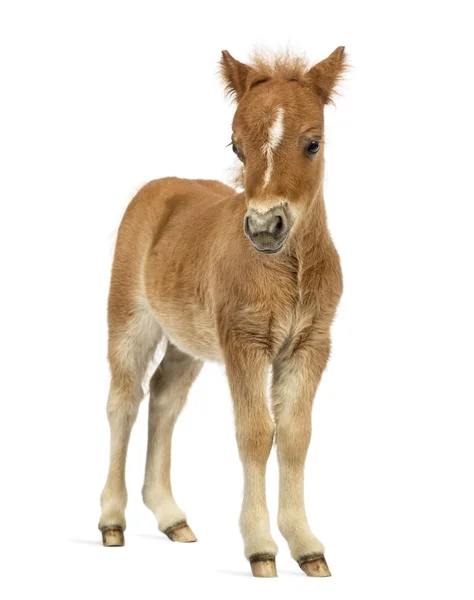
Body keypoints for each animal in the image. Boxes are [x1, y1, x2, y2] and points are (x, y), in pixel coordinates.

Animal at [98, 45, 346, 576]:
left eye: (313, 143)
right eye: (236, 146)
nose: (266, 227)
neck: (290, 269)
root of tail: (157, 187)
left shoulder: (311, 344)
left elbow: (295, 435)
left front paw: (307, 546)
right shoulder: (244, 342)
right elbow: (254, 433)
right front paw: (261, 549)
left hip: (187, 340)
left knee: (164, 397)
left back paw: (172, 517)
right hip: (130, 318)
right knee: (123, 400)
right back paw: (112, 522)